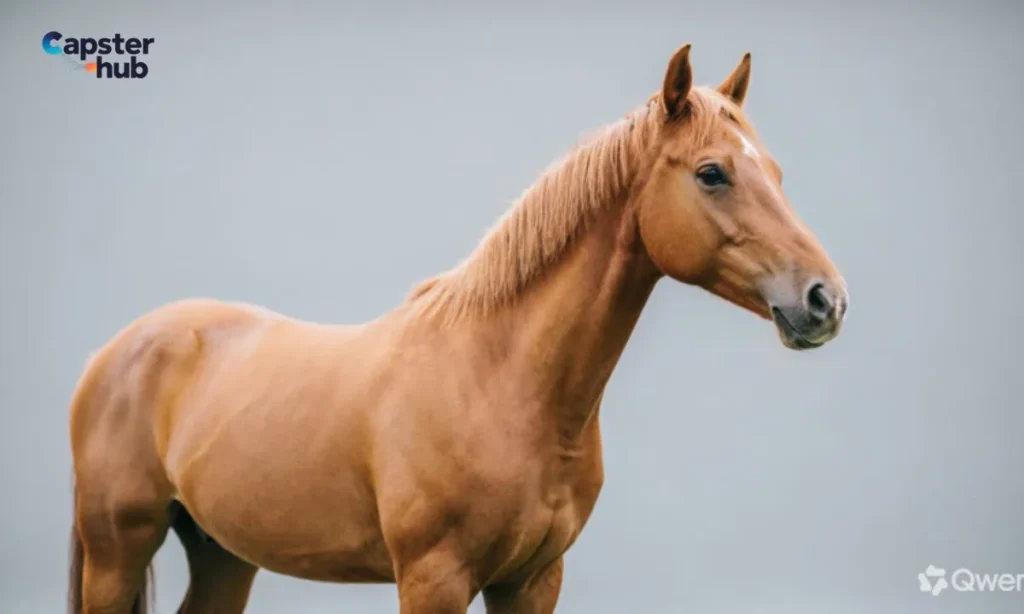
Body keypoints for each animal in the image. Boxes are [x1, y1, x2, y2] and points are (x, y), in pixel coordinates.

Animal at [67, 43, 849, 614]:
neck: (499, 381)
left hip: (223, 553)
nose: (825, 300)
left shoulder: (532, 581)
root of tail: (115, 351)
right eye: (712, 173)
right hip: (119, 550)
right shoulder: (433, 579)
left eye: (774, 171)